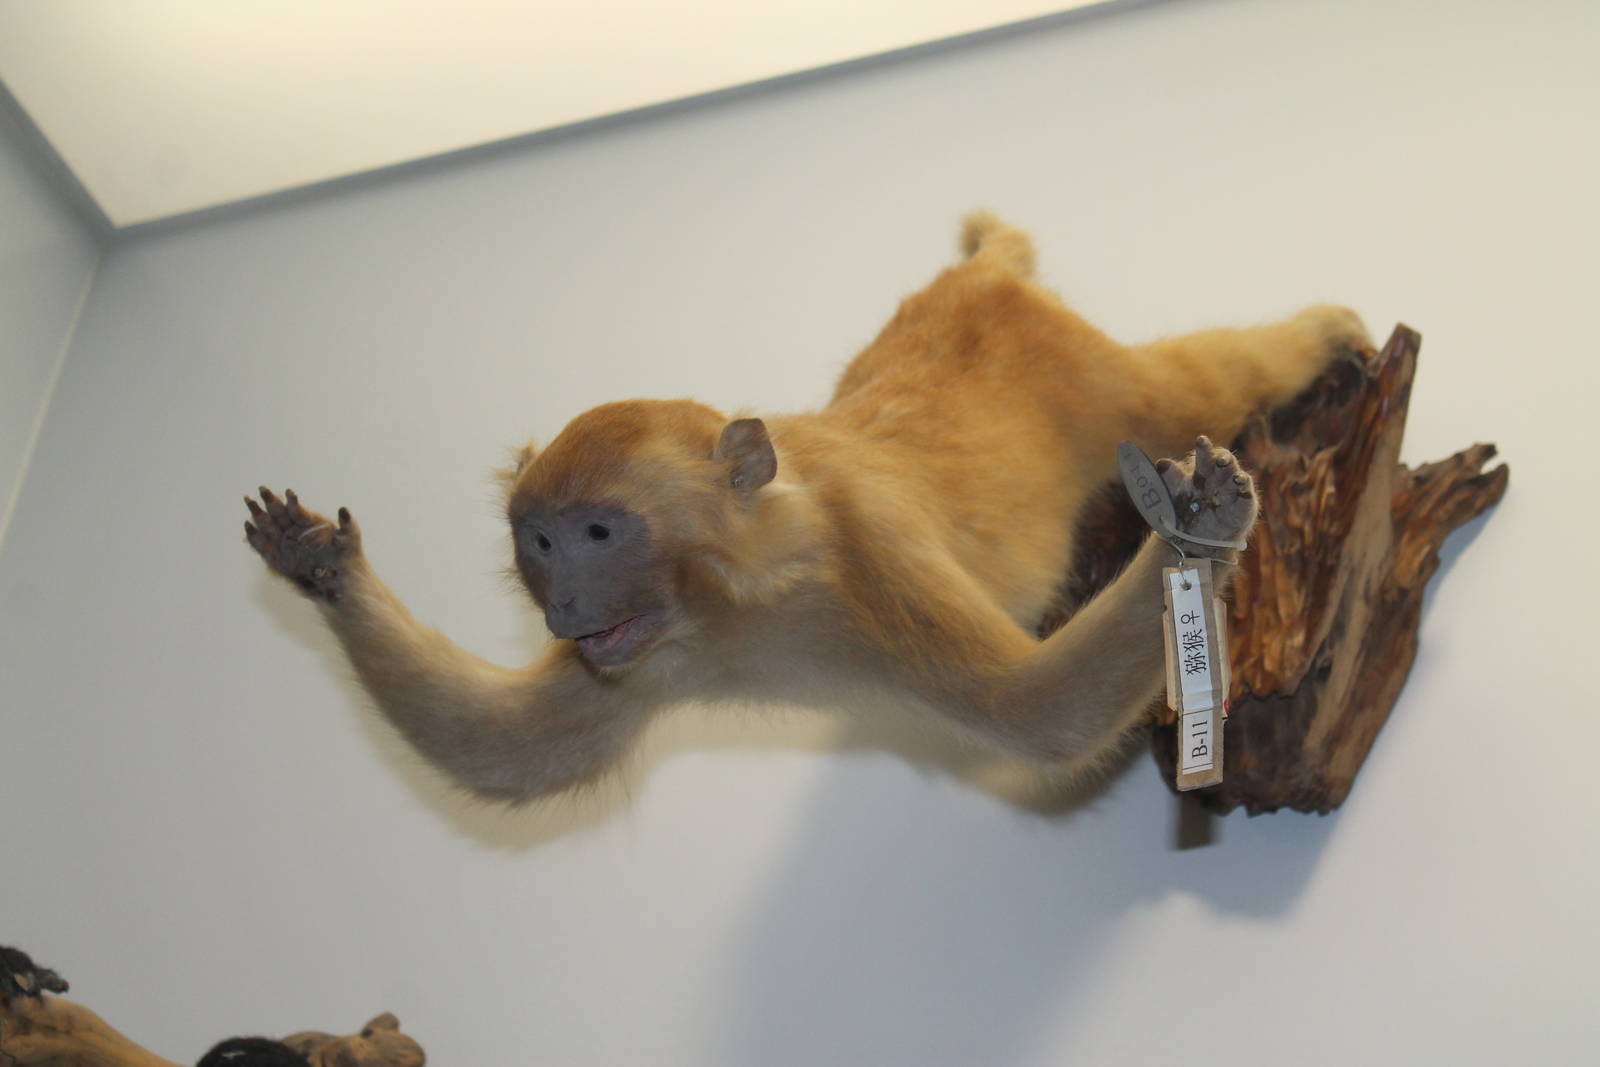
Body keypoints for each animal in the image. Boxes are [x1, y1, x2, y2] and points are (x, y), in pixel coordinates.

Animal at [244, 213, 1369, 804]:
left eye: (599, 534)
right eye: (541, 543)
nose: (564, 607)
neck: (744, 599)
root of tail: (981, 276)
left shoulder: (871, 548)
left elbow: (1031, 709)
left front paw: (1199, 532)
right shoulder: (643, 653)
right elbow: (512, 750)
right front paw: (322, 566)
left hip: (1088, 375)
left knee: (1194, 382)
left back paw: (1323, 335)